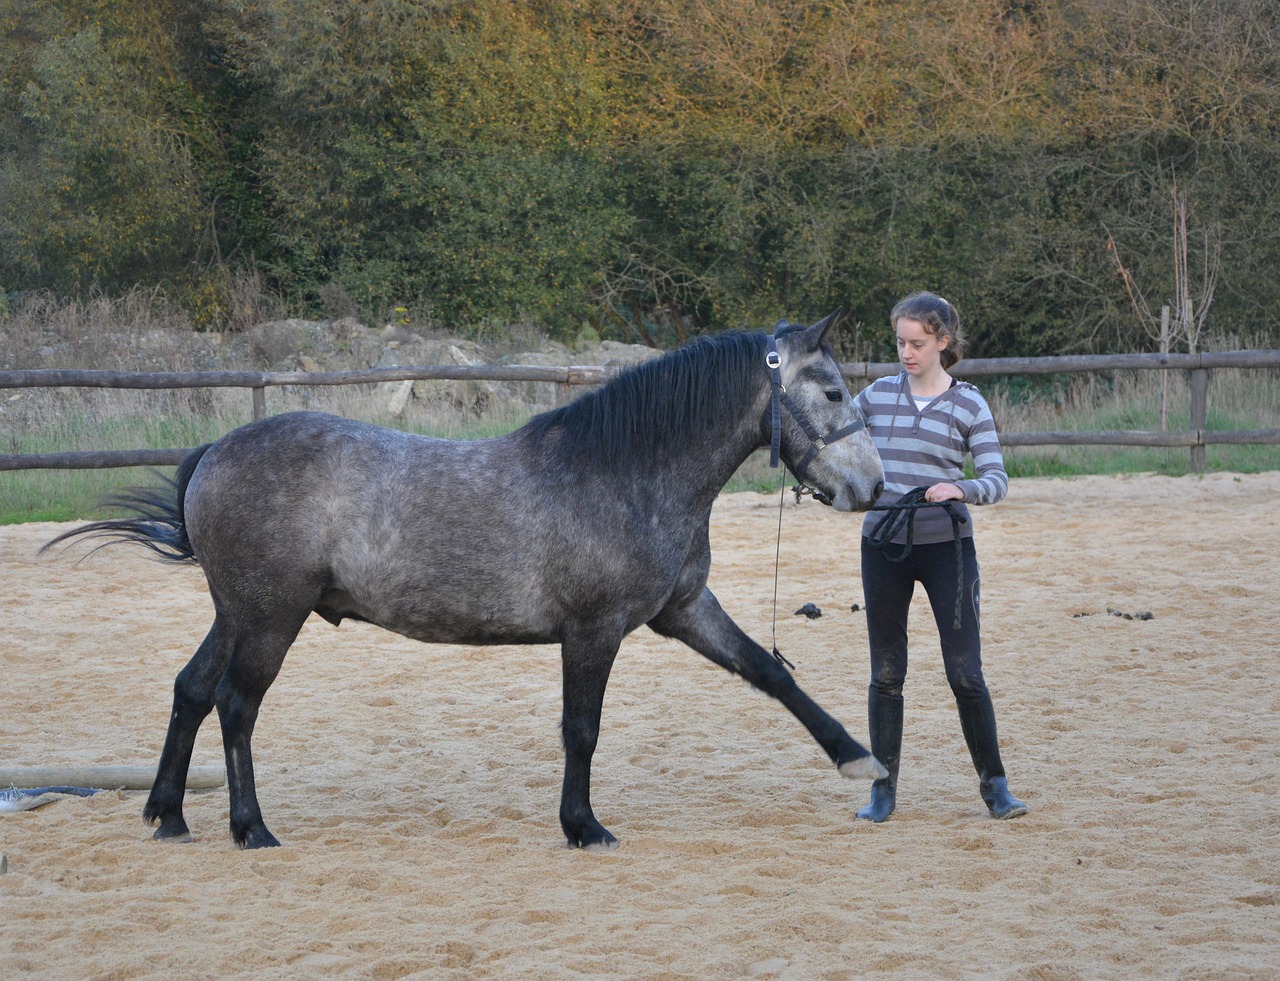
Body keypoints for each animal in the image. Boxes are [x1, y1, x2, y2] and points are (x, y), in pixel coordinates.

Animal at [45, 311, 885, 850]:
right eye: (833, 391)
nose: (873, 486)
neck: (626, 470)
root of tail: (216, 451)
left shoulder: (682, 608)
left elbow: (770, 671)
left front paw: (858, 756)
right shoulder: (594, 628)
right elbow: (582, 727)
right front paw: (583, 825)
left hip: (237, 614)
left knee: (191, 689)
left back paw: (169, 815)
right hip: (270, 617)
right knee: (235, 704)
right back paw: (250, 828)